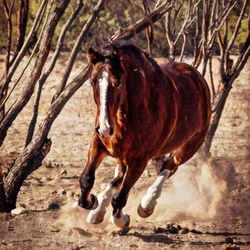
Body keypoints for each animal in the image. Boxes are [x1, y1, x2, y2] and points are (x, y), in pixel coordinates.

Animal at [78, 40, 211, 233]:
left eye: (117, 83)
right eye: (92, 82)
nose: (104, 129)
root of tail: (199, 79)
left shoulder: (140, 160)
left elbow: (120, 197)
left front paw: (122, 220)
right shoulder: (99, 144)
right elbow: (86, 179)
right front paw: (92, 202)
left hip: (189, 146)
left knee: (169, 168)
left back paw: (147, 205)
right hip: (124, 155)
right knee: (121, 175)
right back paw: (98, 211)